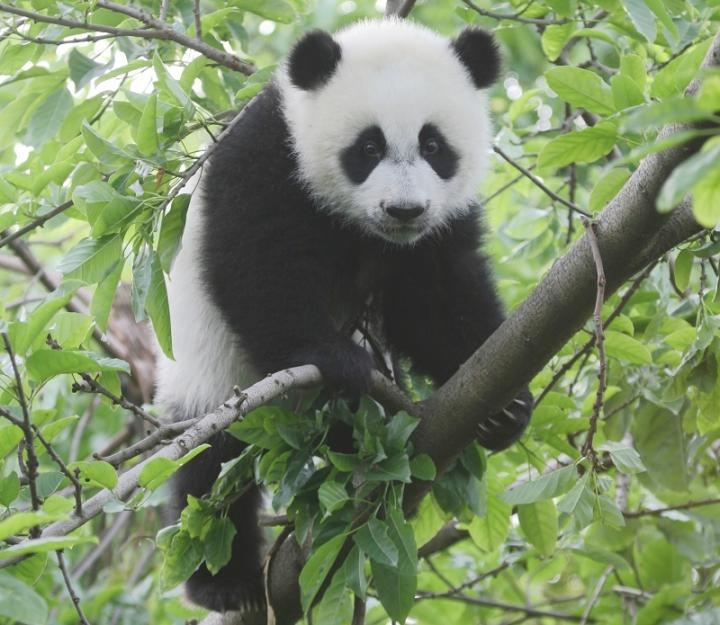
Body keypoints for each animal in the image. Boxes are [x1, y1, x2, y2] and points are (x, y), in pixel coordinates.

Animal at [155, 18, 533, 615]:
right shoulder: (269, 160)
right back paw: (226, 582)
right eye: (368, 147)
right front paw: (339, 363)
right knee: (213, 468)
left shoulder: (438, 229)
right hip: (216, 372)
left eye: (433, 145)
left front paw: (504, 408)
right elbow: (256, 267)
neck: (366, 231)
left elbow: (439, 301)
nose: (404, 210)